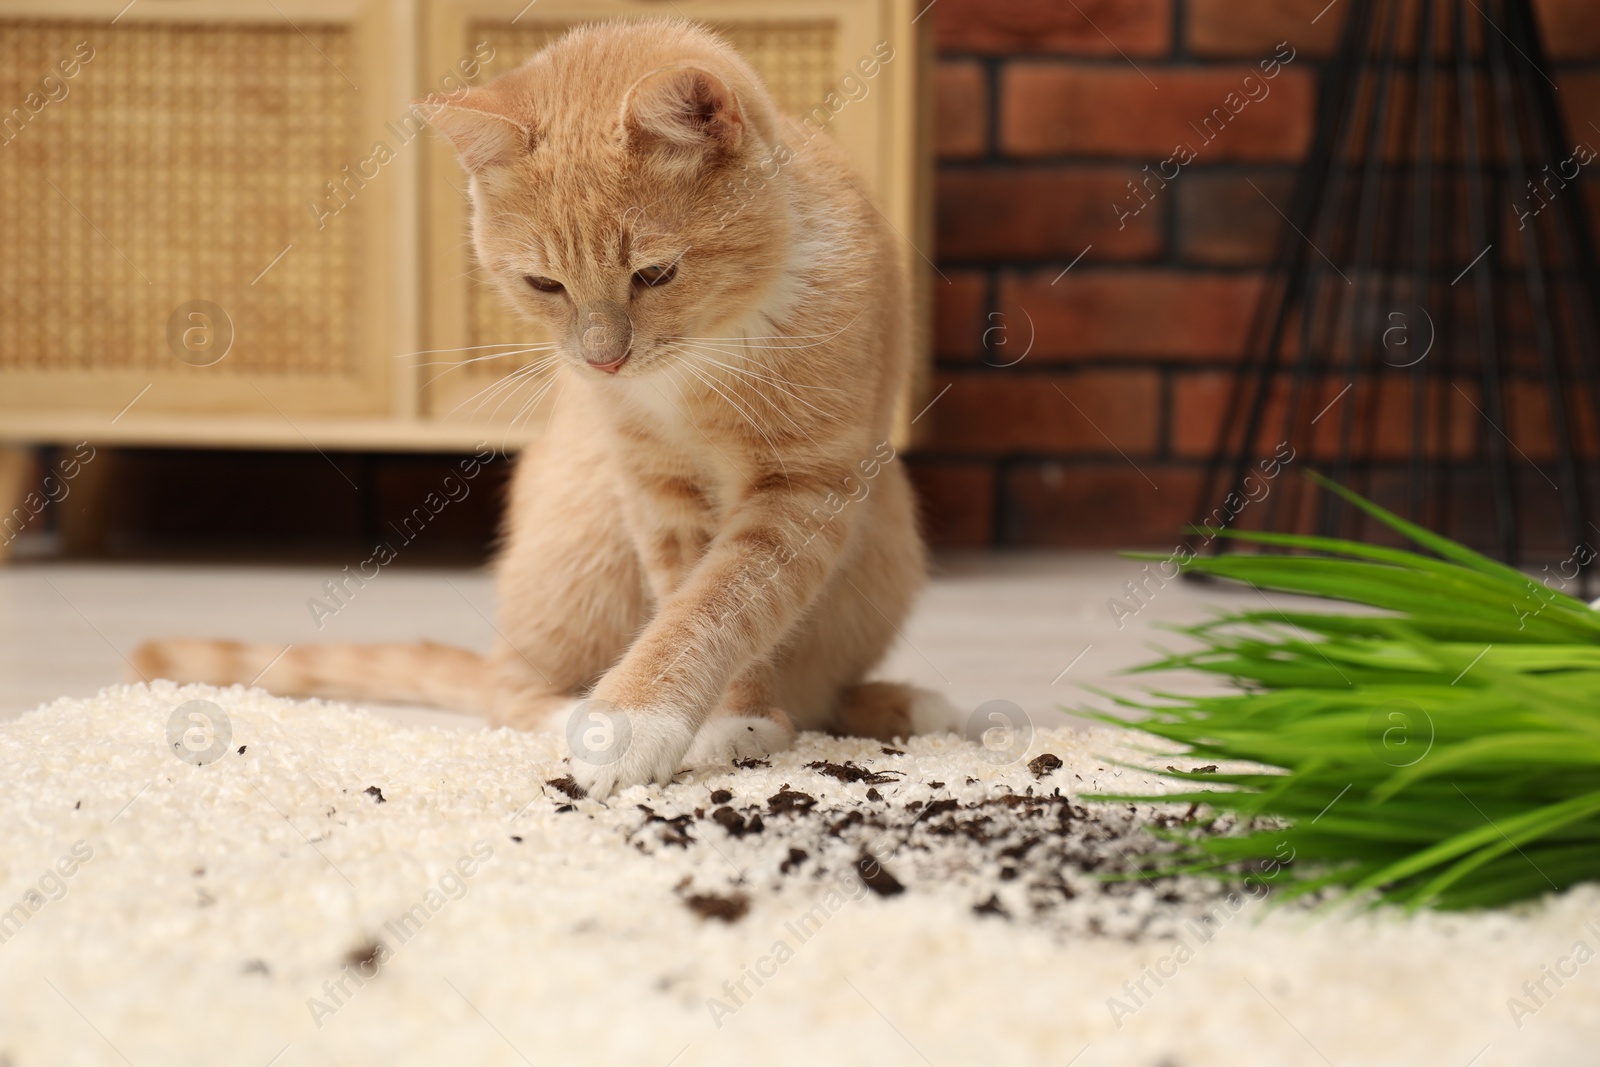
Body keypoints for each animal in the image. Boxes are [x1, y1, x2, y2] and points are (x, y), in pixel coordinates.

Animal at [131, 18, 953, 799]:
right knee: (507, 686)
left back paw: (906, 704)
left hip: (885, 539)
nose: (602, 360)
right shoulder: (653, 487)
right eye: (544, 284)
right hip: (584, 526)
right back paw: (575, 710)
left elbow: (722, 600)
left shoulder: (806, 487)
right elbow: (689, 588)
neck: (705, 358)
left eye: (655, 273)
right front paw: (694, 719)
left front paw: (674, 713)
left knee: (828, 689)